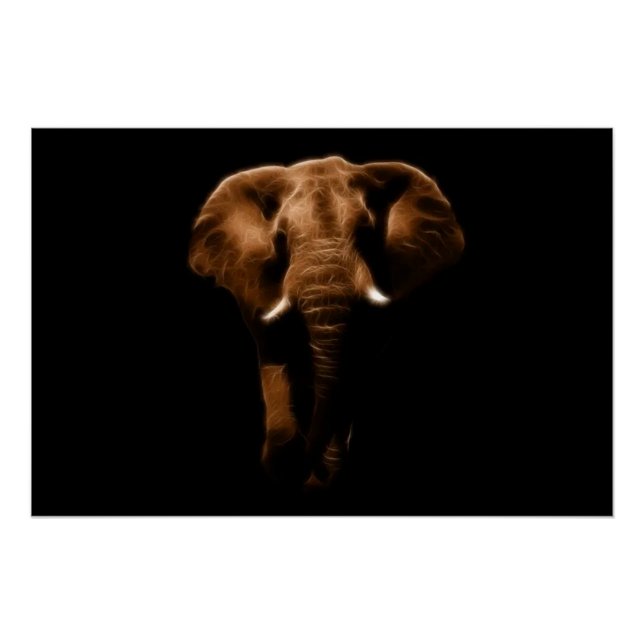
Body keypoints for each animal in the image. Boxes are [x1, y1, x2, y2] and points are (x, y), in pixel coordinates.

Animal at [188, 155, 464, 490]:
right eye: (281, 238)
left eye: (366, 233)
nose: (308, 475)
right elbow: (275, 350)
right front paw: (283, 466)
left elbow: (357, 362)